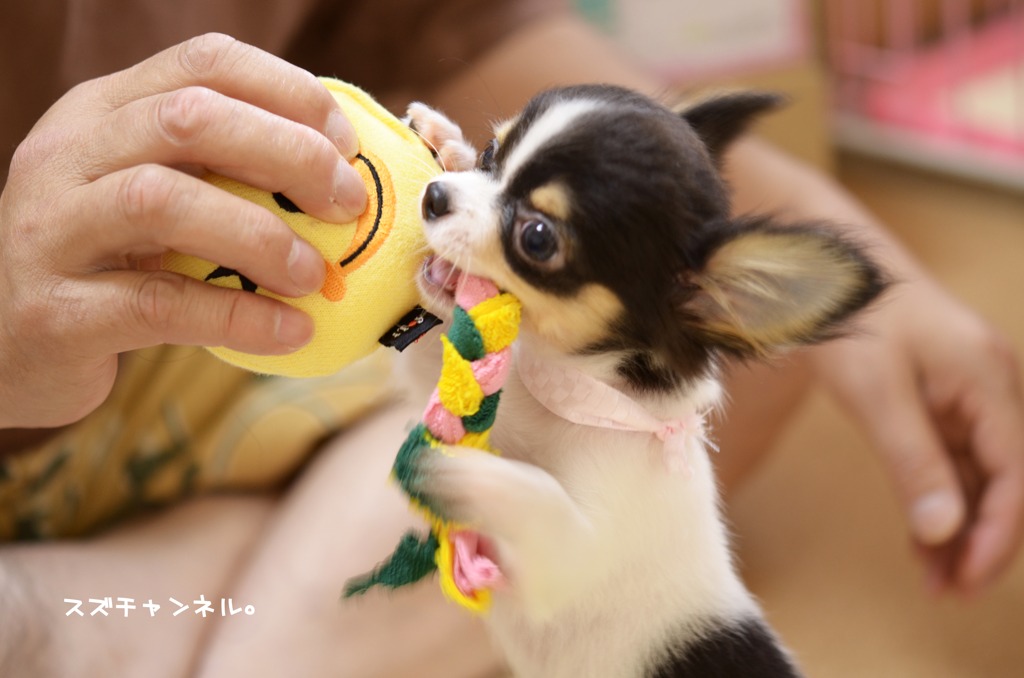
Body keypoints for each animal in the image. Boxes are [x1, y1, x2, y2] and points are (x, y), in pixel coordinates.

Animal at [399, 86, 888, 678]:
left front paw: (458, 472)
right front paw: (447, 140)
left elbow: (537, 495)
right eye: (494, 150)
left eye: (536, 238)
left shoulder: (567, 559)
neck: (576, 397)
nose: (435, 195)